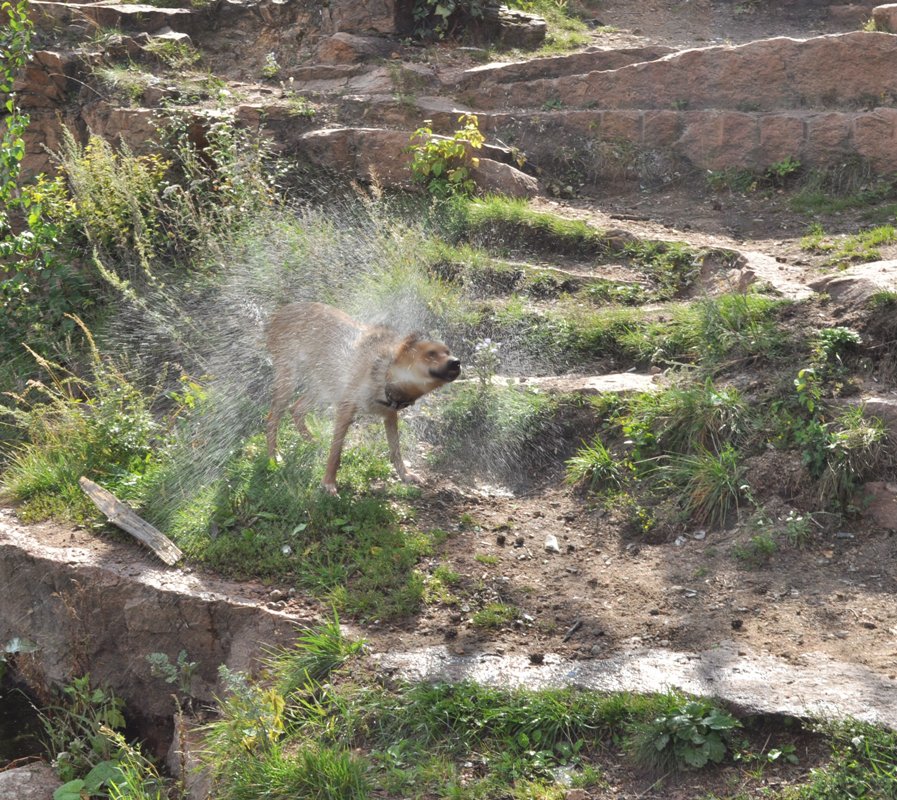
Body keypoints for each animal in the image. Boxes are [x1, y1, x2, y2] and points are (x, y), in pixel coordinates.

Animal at [264, 302, 462, 494]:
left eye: (448, 351)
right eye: (431, 353)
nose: (457, 361)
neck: (387, 374)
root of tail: (281, 312)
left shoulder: (390, 415)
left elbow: (396, 450)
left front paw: (405, 475)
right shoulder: (346, 409)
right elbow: (335, 453)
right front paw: (329, 483)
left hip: (323, 384)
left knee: (296, 409)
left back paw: (312, 441)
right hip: (289, 381)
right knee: (273, 418)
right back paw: (274, 457)